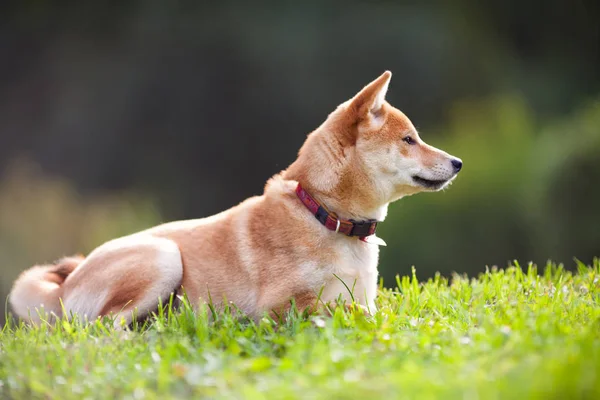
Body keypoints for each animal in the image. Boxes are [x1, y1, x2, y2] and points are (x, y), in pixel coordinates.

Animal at [9, 72, 462, 326]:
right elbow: (344, 313)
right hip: (163, 257)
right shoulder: (282, 306)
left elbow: (374, 309)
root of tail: (62, 289)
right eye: (409, 140)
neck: (323, 213)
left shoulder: (362, 295)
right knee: (103, 330)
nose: (458, 162)